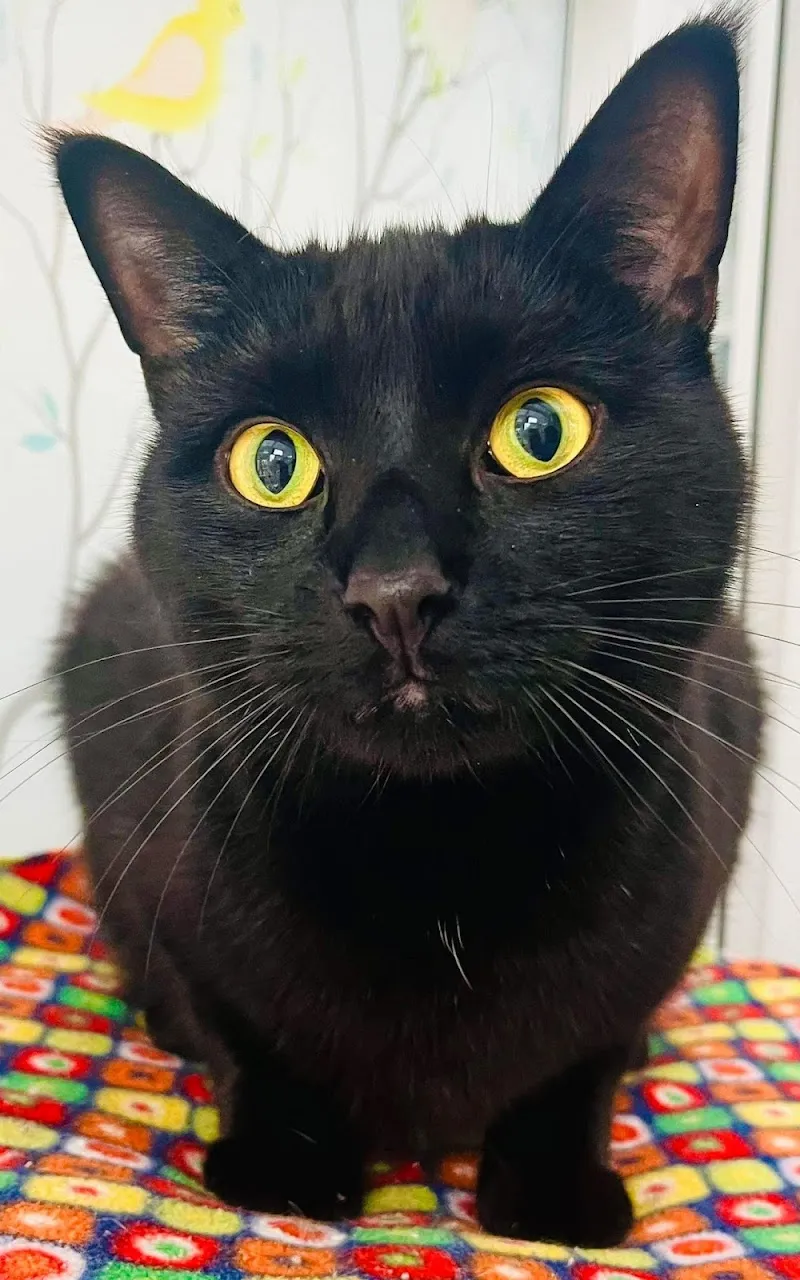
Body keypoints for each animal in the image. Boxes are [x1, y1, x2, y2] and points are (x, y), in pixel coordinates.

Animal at [51, 13, 761, 1247]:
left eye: (539, 429)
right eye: (271, 460)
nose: (394, 590)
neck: (441, 860)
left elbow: (585, 1055)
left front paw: (554, 1191)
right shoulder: (155, 851)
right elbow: (240, 1027)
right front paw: (283, 1163)